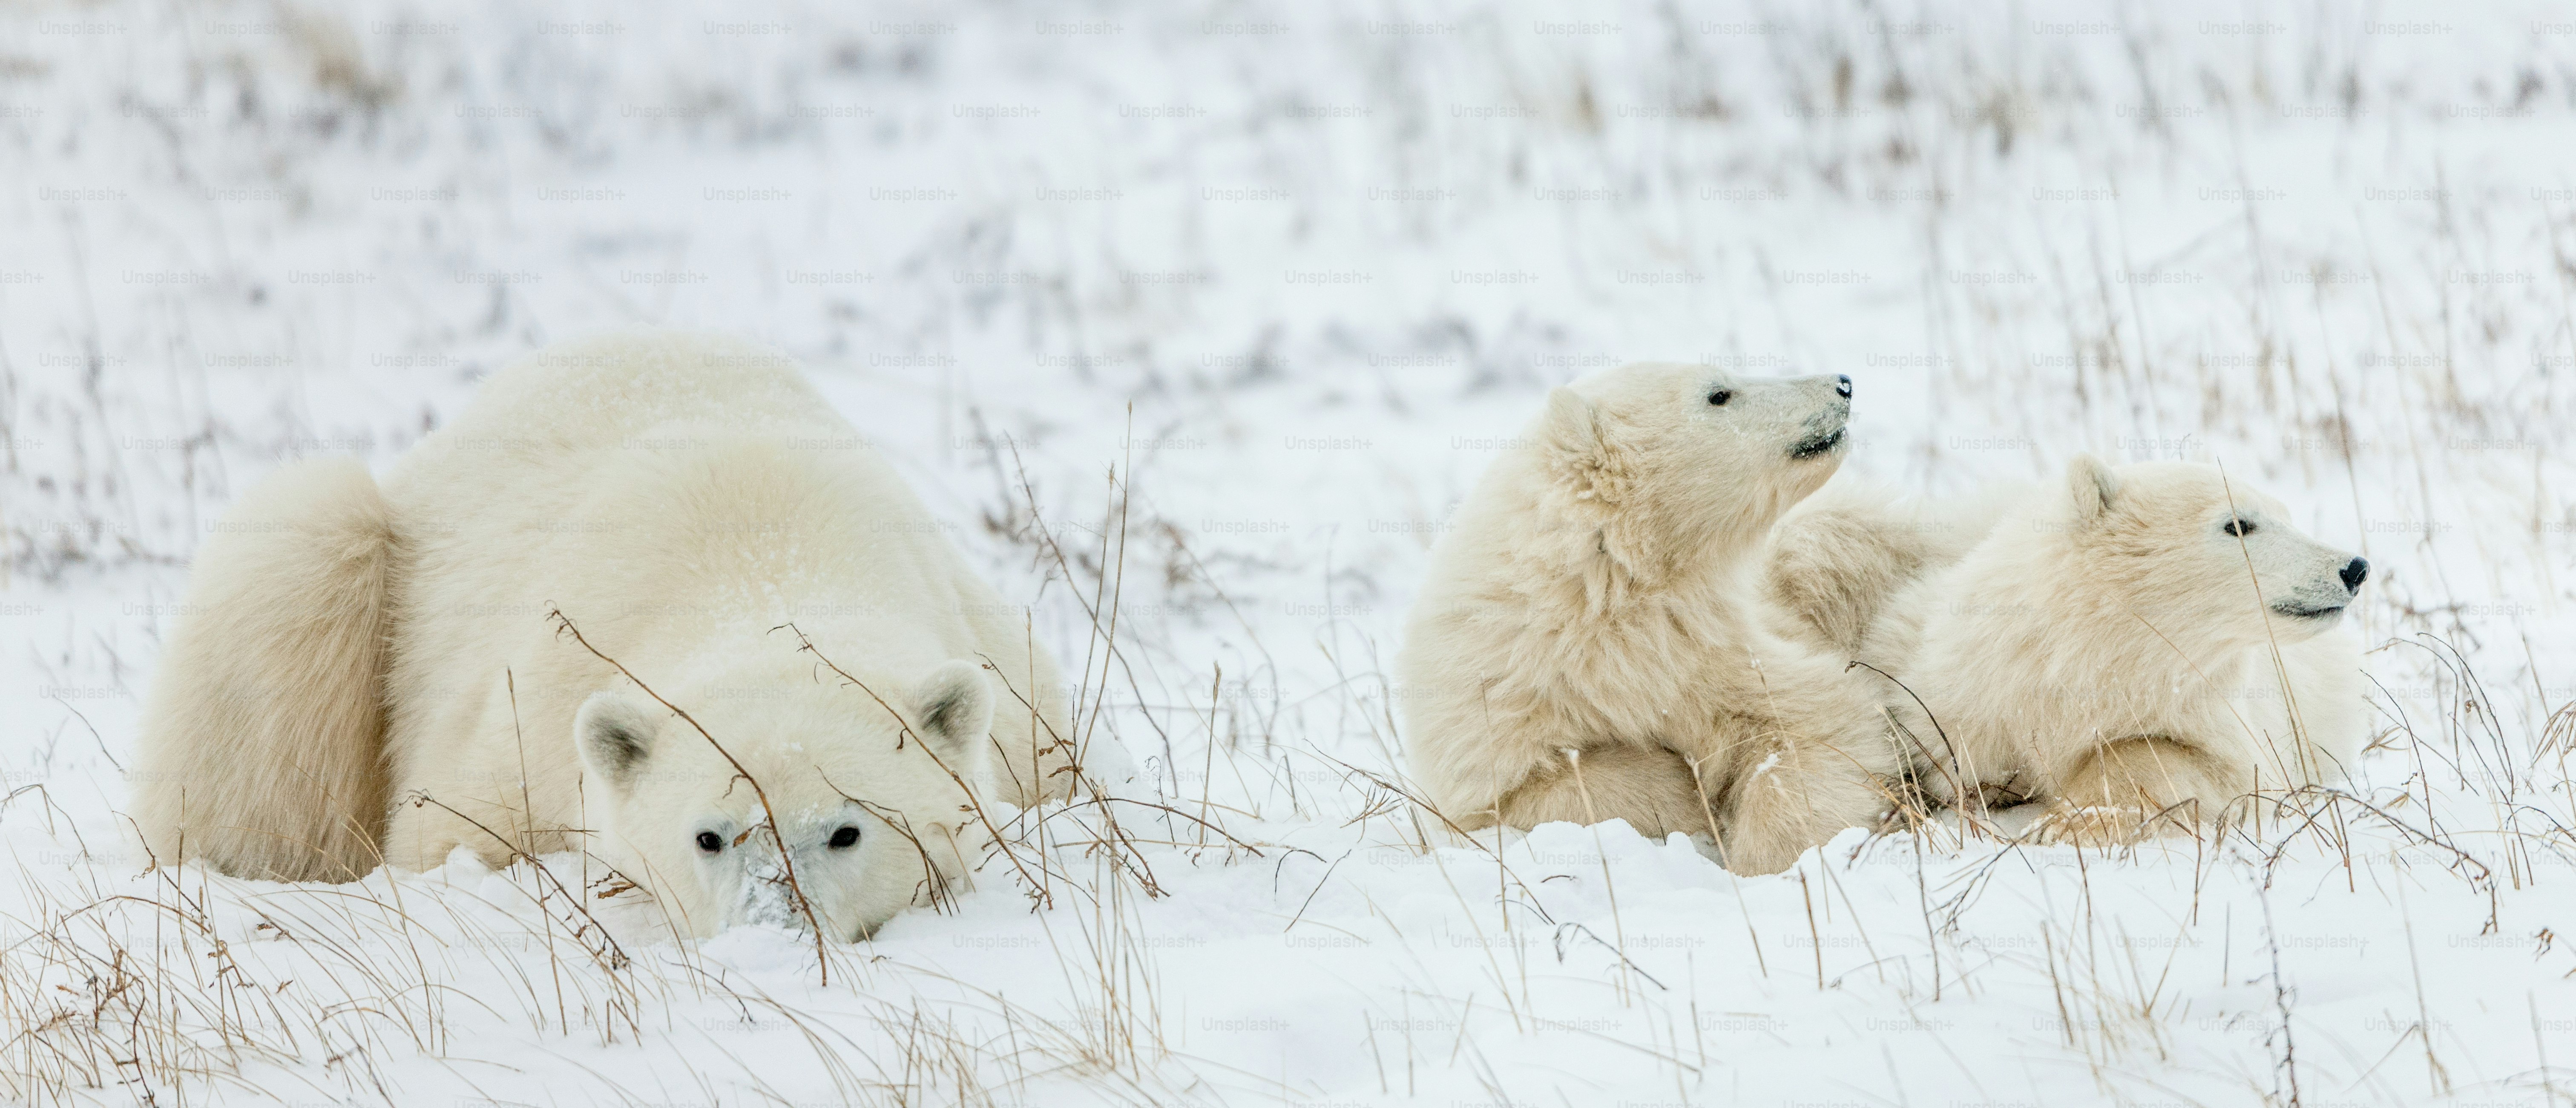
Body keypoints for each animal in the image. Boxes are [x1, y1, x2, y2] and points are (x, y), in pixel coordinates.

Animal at [129, 331, 1078, 940]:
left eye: (848, 830)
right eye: (709, 834)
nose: (775, 929)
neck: (768, 554)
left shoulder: (1019, 705)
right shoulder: (528, 719)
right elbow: (452, 835)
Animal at [1398, 363, 1903, 875]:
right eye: (1718, 394)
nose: (1842, 384)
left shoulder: (1715, 648)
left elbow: (1818, 722)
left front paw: (1772, 864)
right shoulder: (1496, 698)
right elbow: (1525, 796)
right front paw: (1681, 792)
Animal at [1763, 455, 2370, 845]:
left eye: (2286, 513)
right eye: (2239, 523)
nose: (2354, 566)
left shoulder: (2220, 716)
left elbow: (2175, 761)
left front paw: (2067, 820)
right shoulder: (1957, 693)